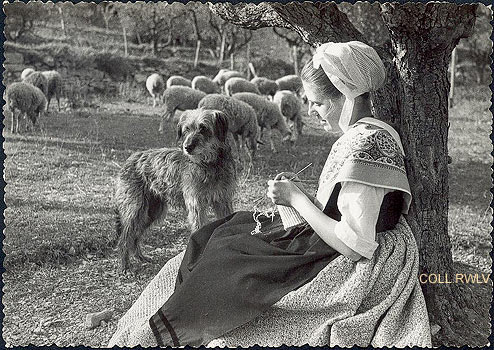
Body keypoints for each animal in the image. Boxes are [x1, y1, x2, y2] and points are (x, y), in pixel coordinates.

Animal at [116, 108, 239, 272]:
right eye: (186, 129)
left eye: (203, 128)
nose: (187, 147)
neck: (210, 165)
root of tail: (131, 158)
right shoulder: (196, 204)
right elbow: (199, 228)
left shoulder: (223, 201)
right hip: (136, 209)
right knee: (125, 237)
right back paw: (125, 265)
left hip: (152, 211)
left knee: (135, 235)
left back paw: (140, 257)